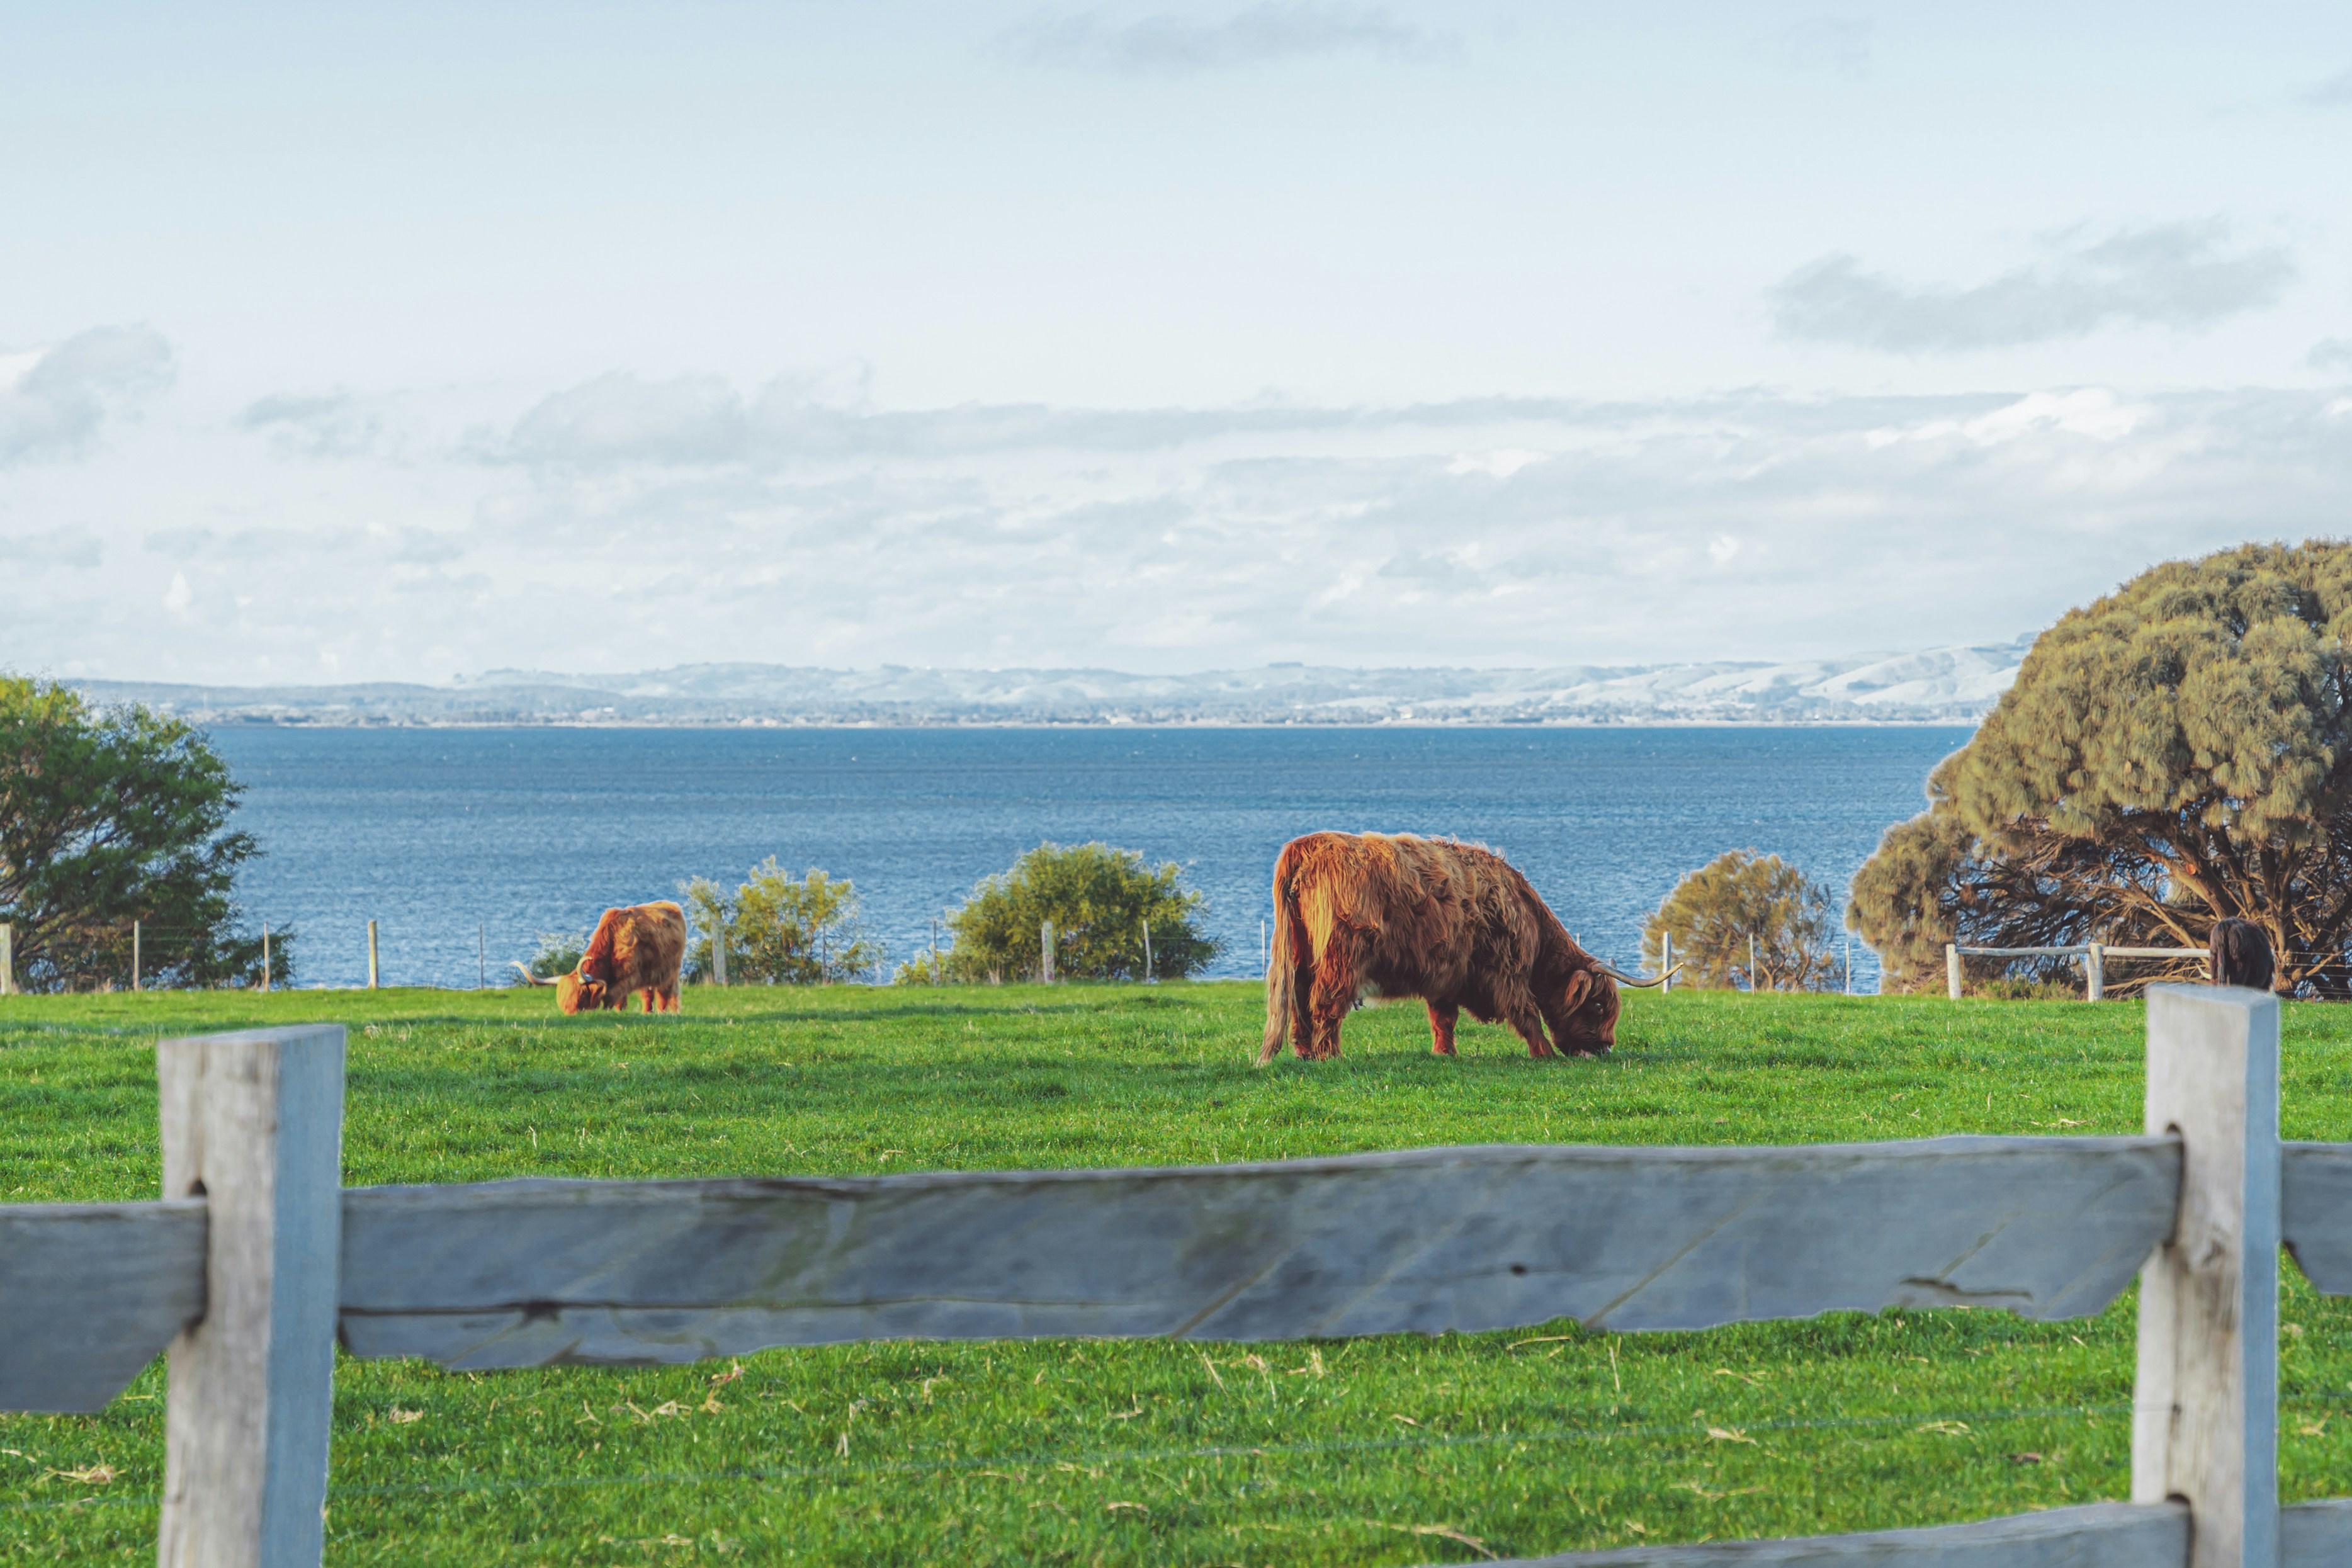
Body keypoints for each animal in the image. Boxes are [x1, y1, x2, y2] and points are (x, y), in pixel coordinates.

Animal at [515, 901, 687, 1014]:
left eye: (581, 996)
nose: (571, 1015)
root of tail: (671, 905)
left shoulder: (629, 976)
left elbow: (615, 998)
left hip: (668, 972)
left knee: (664, 994)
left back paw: (664, 1013)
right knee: (650, 994)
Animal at [1257, 832, 1671, 1065]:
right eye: (1598, 1005)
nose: (1605, 1047)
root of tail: (1308, 846)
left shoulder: (1447, 973)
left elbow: (1444, 1019)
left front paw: (1445, 1054)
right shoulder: (1507, 970)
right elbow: (1526, 1013)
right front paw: (1545, 1054)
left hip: (1301, 952)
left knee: (1299, 1000)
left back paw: (1305, 1054)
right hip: (1341, 954)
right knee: (1325, 1002)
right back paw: (1330, 1057)